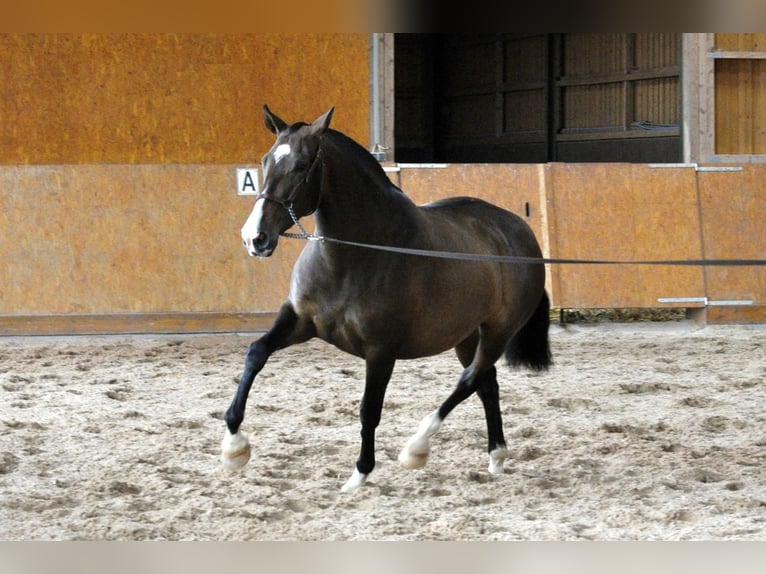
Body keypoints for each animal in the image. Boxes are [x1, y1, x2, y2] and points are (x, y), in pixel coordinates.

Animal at [222, 106, 552, 492]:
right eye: (265, 160)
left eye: (302, 165)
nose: (255, 238)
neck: (355, 255)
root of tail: (519, 231)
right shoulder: (299, 321)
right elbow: (255, 353)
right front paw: (234, 447)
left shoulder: (380, 350)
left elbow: (369, 408)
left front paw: (360, 474)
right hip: (467, 336)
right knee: (486, 383)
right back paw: (496, 457)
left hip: (498, 332)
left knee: (469, 380)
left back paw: (417, 448)